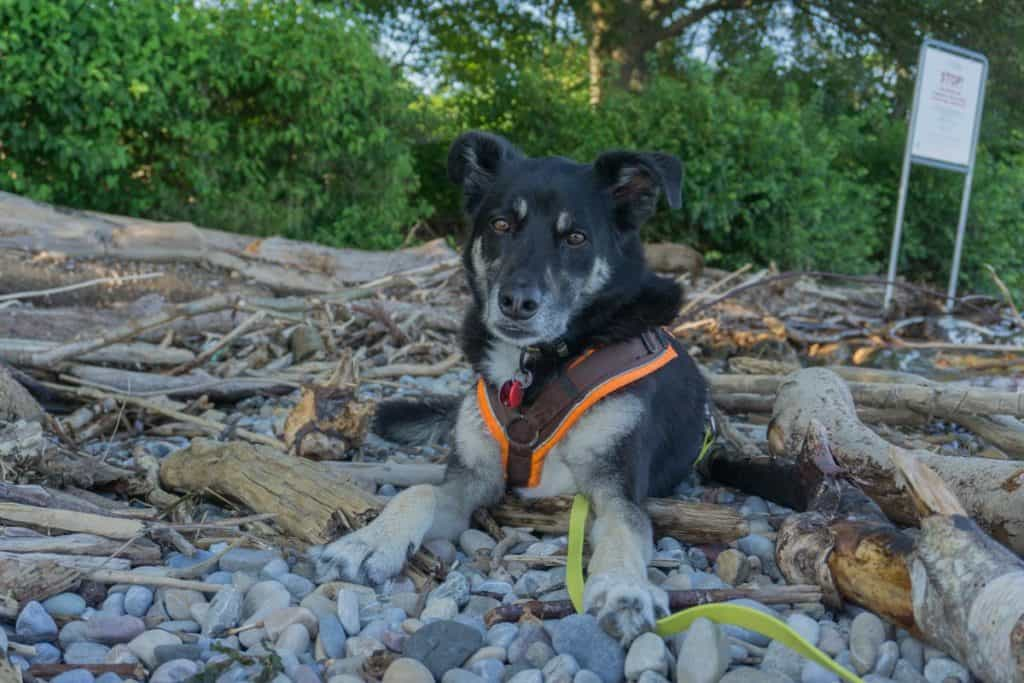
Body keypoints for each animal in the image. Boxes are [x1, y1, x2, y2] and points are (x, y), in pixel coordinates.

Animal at [311, 131, 708, 643]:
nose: (517, 302)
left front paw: (624, 587)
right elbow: (417, 492)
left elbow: (625, 529)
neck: (541, 365)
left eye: (576, 237)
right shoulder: (473, 482)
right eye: (501, 224)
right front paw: (369, 541)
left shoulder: (615, 490)